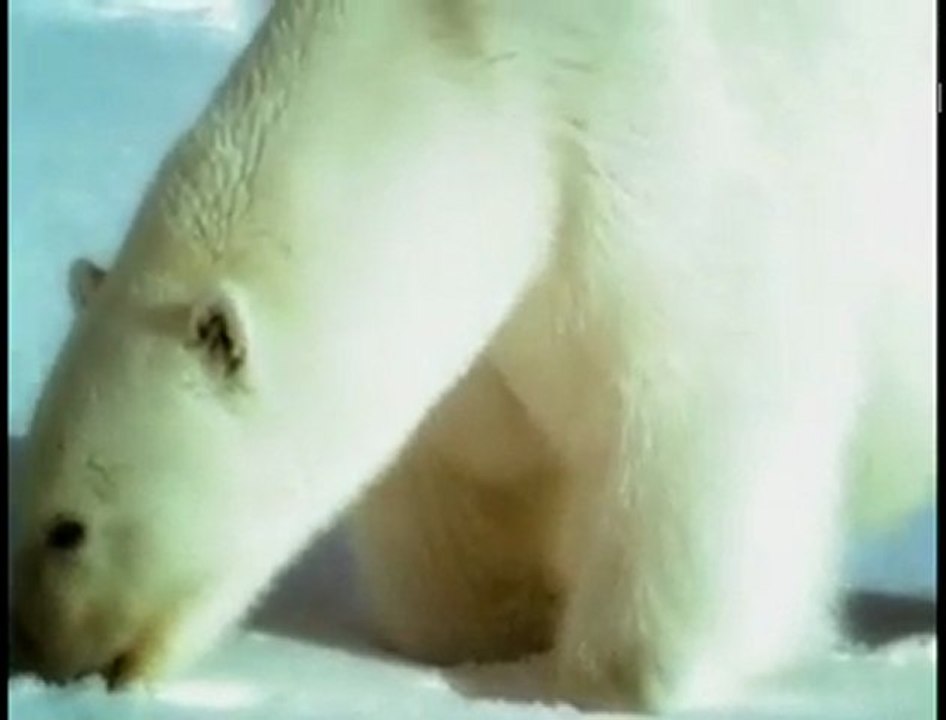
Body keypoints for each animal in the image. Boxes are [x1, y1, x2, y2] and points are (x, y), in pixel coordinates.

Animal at [11, 0, 934, 713]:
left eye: (69, 528)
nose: (42, 661)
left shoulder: (655, 168)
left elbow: (694, 421)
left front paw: (618, 674)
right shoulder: (490, 333)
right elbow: (463, 493)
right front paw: (496, 634)